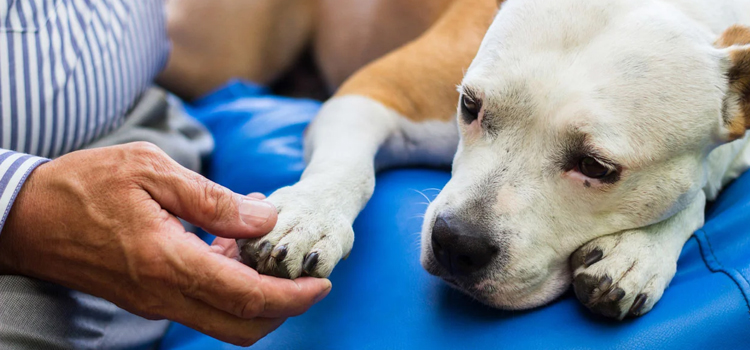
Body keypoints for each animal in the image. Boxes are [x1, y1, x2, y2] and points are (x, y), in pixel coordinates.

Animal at [238, 0, 750, 318]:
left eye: (595, 167)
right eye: (469, 105)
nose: (455, 243)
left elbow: (699, 192)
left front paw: (639, 252)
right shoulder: (376, 91)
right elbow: (347, 167)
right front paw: (307, 217)